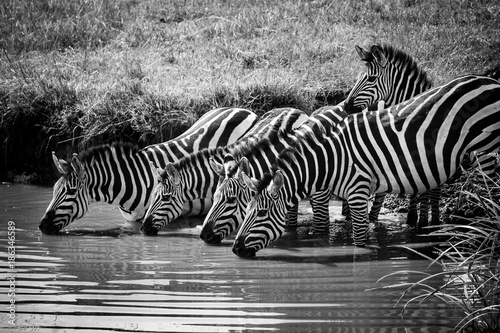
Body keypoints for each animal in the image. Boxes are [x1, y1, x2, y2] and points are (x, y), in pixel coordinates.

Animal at [39, 106, 258, 233]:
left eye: (70, 191)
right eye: (54, 190)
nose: (41, 226)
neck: (133, 182)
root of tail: (243, 110)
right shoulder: (134, 220)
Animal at [232, 75, 500, 256]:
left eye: (261, 213)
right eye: (245, 210)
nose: (235, 250)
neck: (330, 161)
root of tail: (489, 80)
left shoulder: (358, 190)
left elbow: (359, 238)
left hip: (487, 148)